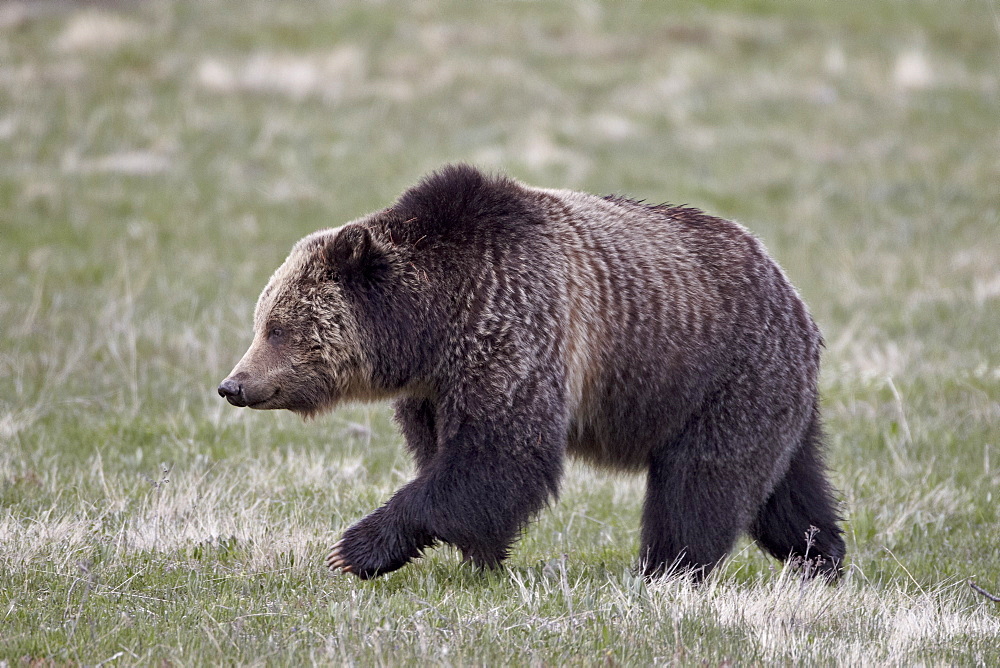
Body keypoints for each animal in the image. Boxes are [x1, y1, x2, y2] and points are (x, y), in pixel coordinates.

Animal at [217, 166, 844, 580]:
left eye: (277, 327)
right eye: (262, 321)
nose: (233, 385)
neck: (433, 325)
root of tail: (795, 298)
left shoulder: (515, 325)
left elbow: (500, 453)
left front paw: (355, 549)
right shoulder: (436, 387)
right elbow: (450, 458)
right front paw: (481, 556)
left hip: (723, 375)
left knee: (702, 483)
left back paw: (667, 568)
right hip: (772, 398)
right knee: (790, 491)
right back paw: (821, 558)